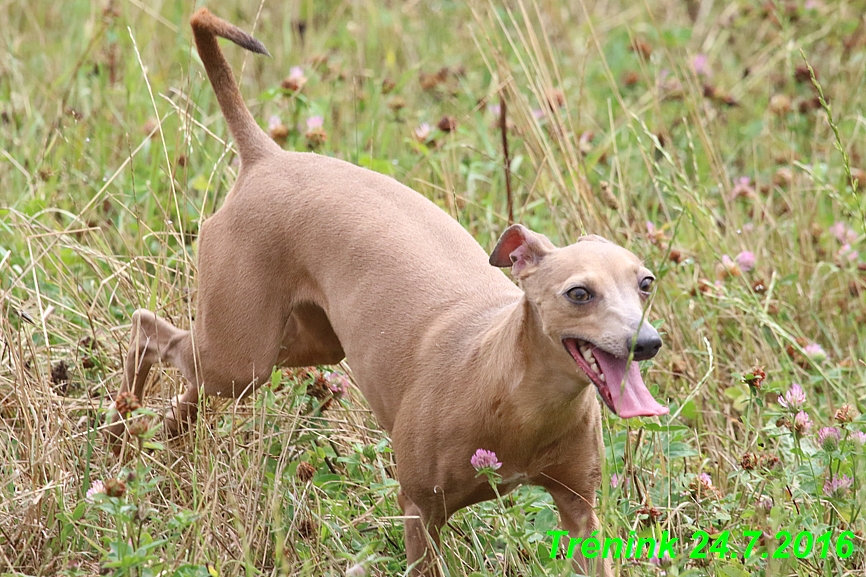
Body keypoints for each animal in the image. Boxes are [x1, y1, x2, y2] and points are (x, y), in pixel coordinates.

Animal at [104, 9, 668, 576]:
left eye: (645, 283)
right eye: (579, 293)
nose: (647, 344)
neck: (511, 388)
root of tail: (268, 157)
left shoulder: (579, 509)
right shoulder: (419, 508)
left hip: (298, 346)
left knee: (187, 380)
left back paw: (162, 442)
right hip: (242, 354)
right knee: (147, 330)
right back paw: (119, 436)